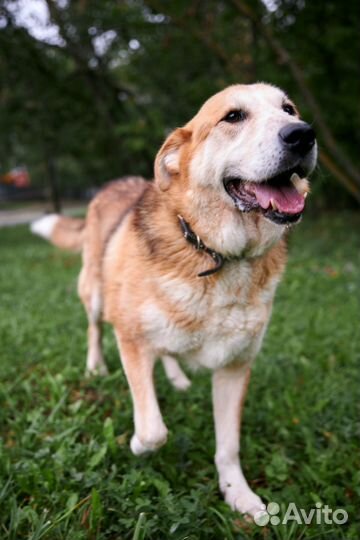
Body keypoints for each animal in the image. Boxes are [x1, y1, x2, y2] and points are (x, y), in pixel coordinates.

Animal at [31, 83, 318, 520]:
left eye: (289, 110)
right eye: (233, 117)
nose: (303, 134)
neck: (216, 254)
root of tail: (114, 183)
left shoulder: (235, 367)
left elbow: (228, 446)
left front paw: (237, 494)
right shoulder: (131, 340)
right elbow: (153, 429)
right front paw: (136, 444)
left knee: (166, 350)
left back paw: (178, 377)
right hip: (95, 295)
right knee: (95, 329)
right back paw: (97, 366)